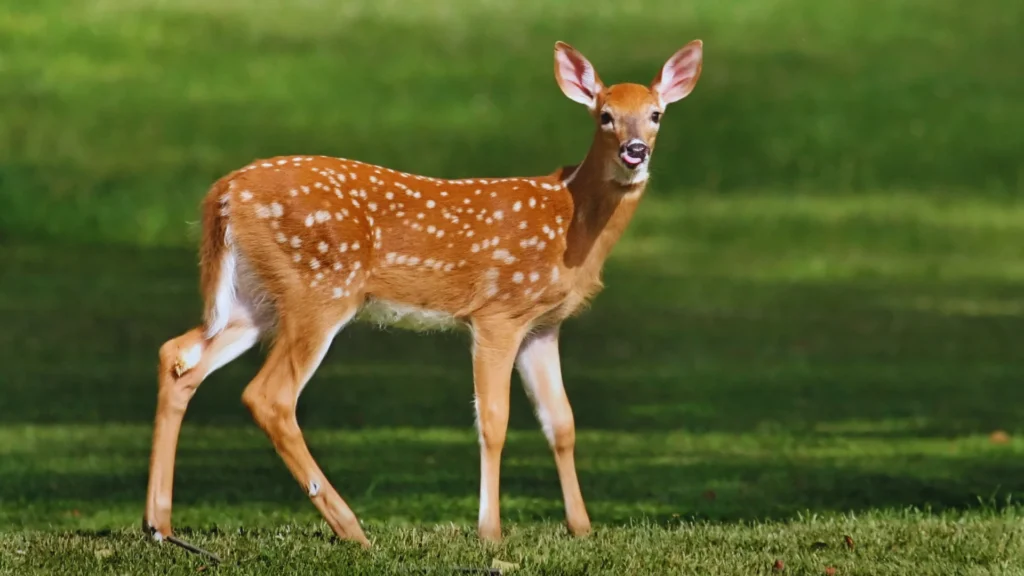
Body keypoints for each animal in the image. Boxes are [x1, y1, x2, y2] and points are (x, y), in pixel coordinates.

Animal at [143, 39, 704, 555]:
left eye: (655, 114)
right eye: (605, 116)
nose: (636, 151)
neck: (571, 220)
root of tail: (224, 193)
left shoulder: (543, 325)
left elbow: (560, 422)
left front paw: (581, 528)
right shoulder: (498, 311)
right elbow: (494, 420)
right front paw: (490, 533)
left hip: (254, 299)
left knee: (179, 356)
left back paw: (159, 526)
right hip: (320, 289)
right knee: (269, 395)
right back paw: (352, 529)